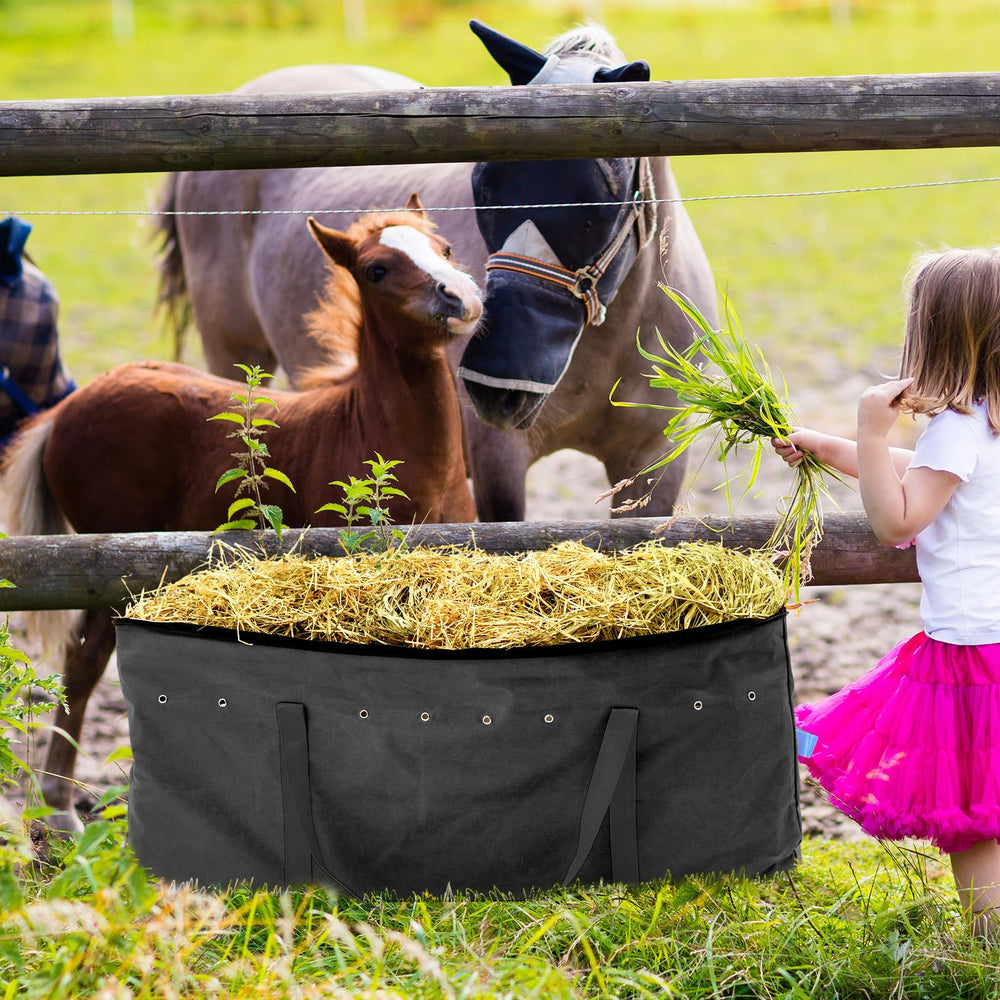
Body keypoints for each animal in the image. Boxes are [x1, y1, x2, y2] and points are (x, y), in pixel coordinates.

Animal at [0, 197, 481, 830]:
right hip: (106, 568)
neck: (370, 429)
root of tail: (63, 411)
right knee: (84, 662)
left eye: (445, 249)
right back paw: (61, 811)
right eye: (376, 270)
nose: (461, 296)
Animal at [155, 19, 717, 522]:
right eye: (483, 182)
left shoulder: (653, 461)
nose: (495, 380)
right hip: (235, 355)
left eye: (598, 199)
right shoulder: (498, 462)